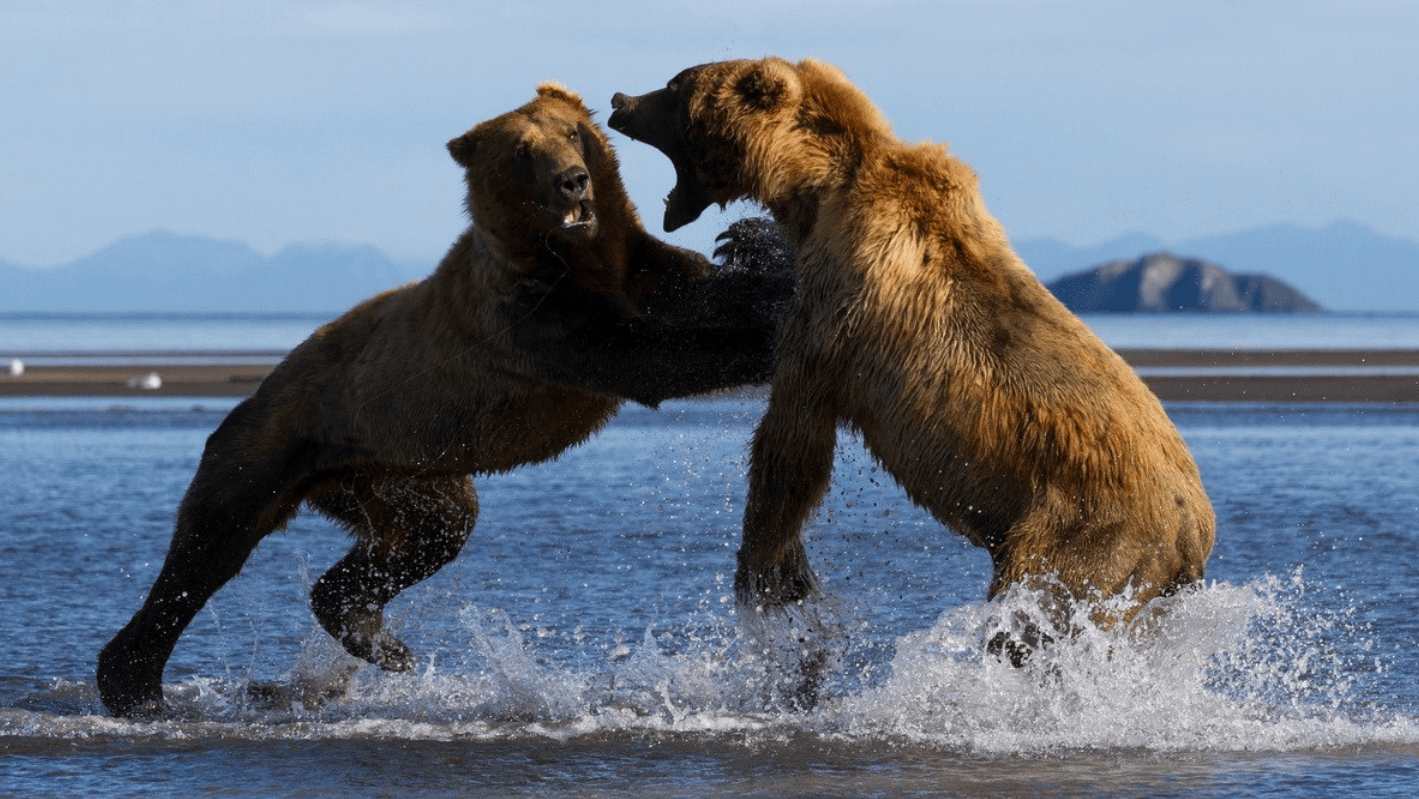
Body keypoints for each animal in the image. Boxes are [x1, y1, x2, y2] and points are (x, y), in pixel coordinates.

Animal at [94, 83, 794, 718]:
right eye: (522, 152)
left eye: (571, 132)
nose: (572, 182)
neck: (579, 256)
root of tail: (261, 388)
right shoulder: (535, 320)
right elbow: (654, 357)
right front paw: (770, 329)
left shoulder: (638, 268)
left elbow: (702, 290)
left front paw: (757, 250)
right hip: (279, 441)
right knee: (207, 550)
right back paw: (135, 685)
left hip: (397, 474)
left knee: (432, 534)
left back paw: (376, 639)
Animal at [604, 59, 1214, 658]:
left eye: (675, 86)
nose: (618, 100)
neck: (815, 187)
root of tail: (1195, 538)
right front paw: (746, 239)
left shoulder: (837, 312)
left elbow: (794, 440)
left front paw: (769, 575)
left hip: (1084, 540)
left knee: (1030, 621)